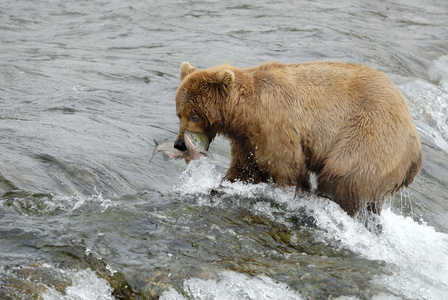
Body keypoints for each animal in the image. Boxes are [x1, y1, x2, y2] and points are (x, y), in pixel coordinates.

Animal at [173, 61, 422, 217]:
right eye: (179, 113)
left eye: (194, 115)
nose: (179, 143)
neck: (243, 115)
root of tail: (417, 155)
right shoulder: (247, 139)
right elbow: (244, 168)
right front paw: (219, 187)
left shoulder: (275, 128)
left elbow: (288, 170)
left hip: (369, 139)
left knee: (341, 177)